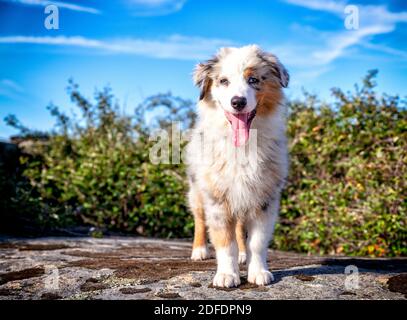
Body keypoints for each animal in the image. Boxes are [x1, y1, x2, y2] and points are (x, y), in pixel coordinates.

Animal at [186, 44, 292, 288]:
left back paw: (243, 255)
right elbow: (225, 242)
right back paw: (199, 250)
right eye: (223, 81)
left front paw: (259, 272)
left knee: (239, 228)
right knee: (199, 219)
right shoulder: (216, 198)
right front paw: (226, 275)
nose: (238, 102)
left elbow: (257, 241)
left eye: (253, 79)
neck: (242, 146)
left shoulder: (264, 198)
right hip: (197, 190)